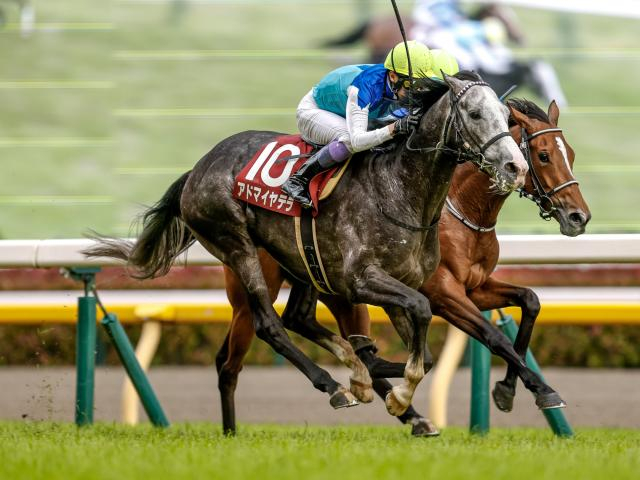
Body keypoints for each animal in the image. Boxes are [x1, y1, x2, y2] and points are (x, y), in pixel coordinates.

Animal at [85, 71, 530, 422]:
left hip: (302, 260)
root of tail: (197, 168)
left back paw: (357, 374)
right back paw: (333, 384)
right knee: (270, 325)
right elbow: (420, 314)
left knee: (298, 317)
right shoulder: (361, 279)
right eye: (475, 114)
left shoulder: (407, 281)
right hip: (238, 246)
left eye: (506, 116)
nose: (516, 167)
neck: (399, 190)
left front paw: (388, 384)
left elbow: (427, 349)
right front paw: (398, 394)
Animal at [215, 98, 589, 435]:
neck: (457, 207)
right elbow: (495, 337)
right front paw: (541, 390)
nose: (579, 217)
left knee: (298, 321)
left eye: (570, 154)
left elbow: (530, 301)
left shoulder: (475, 287)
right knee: (232, 361)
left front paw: (508, 390)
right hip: (258, 287)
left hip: (321, 280)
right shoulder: (443, 293)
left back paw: (405, 411)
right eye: (543, 155)